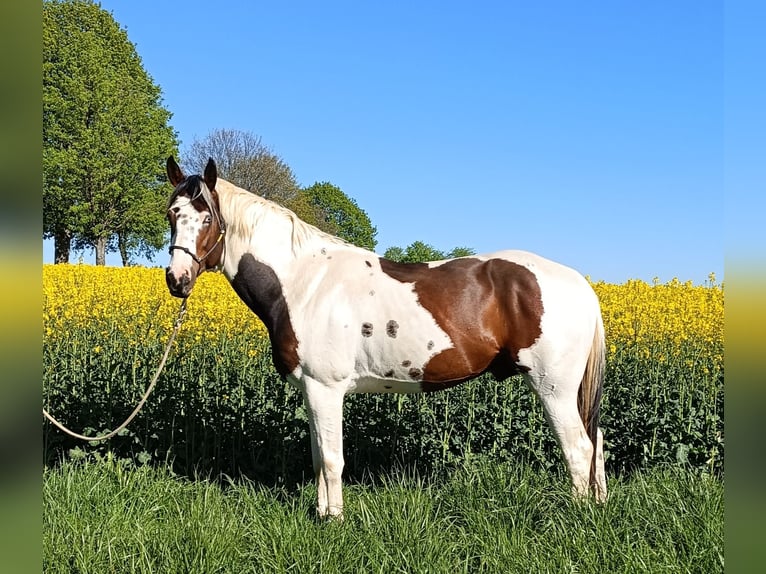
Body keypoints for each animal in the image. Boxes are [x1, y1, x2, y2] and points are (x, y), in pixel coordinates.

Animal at [164, 156, 607, 518]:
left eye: (207, 219)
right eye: (172, 214)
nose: (176, 280)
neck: (303, 281)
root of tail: (579, 283)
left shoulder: (326, 388)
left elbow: (332, 460)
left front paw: (334, 521)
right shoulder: (311, 390)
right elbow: (318, 458)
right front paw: (323, 513)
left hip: (553, 388)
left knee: (578, 448)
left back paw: (577, 516)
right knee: (596, 442)